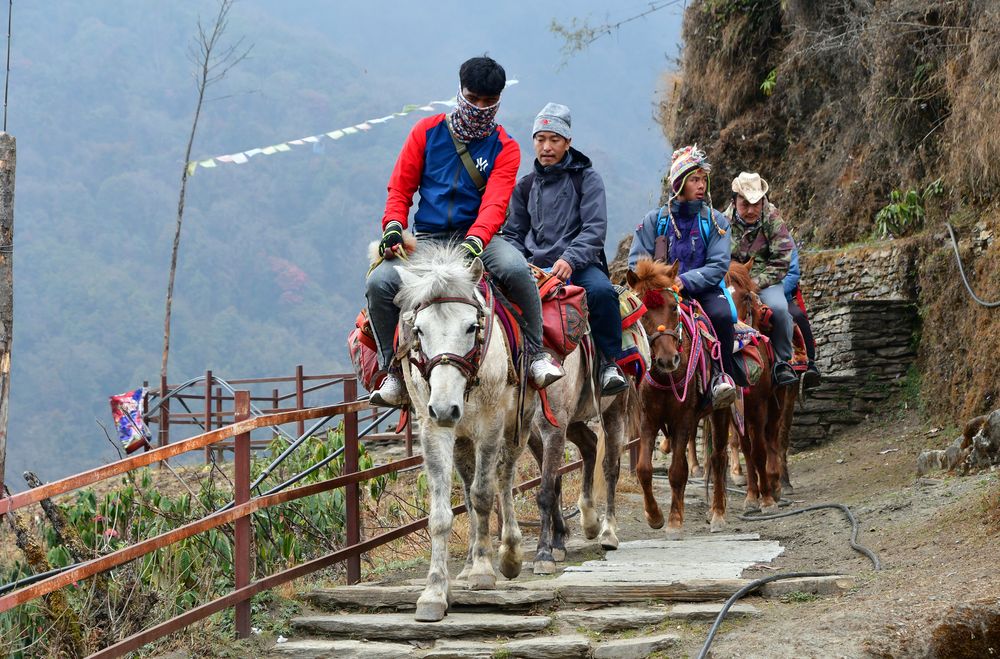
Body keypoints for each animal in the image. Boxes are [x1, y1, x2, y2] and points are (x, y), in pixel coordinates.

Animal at [392, 244, 536, 624]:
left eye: (472, 327)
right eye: (419, 330)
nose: (445, 408)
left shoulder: (491, 424)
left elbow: (485, 494)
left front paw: (486, 571)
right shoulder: (434, 429)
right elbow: (442, 515)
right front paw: (434, 593)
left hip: (518, 424)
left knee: (504, 479)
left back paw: (508, 554)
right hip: (462, 440)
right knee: (470, 494)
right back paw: (470, 563)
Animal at [628, 260, 732, 536]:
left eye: (674, 307)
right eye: (642, 312)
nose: (668, 359)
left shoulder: (684, 418)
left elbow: (676, 471)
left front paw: (674, 520)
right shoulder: (648, 420)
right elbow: (644, 469)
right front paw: (654, 516)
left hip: (721, 411)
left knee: (718, 458)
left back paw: (718, 514)